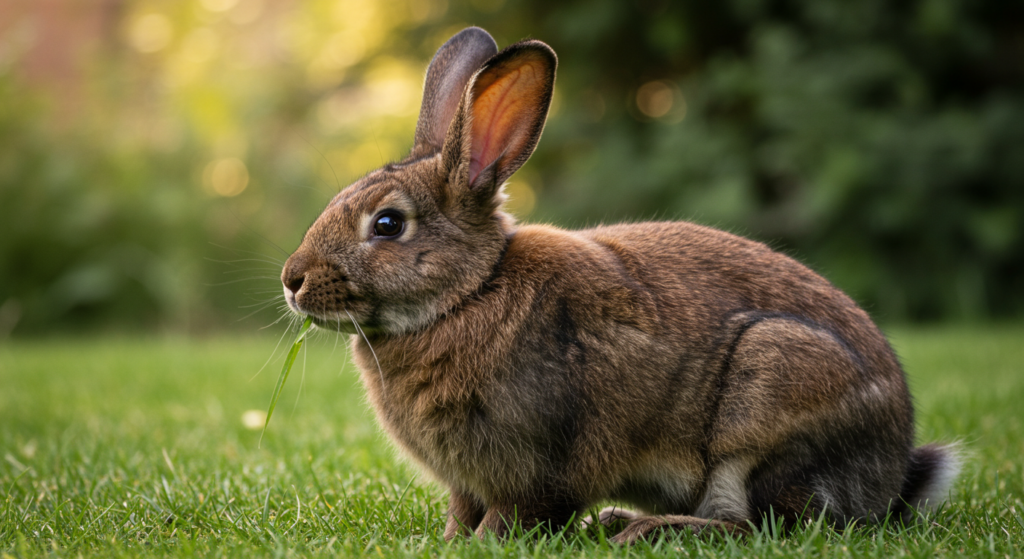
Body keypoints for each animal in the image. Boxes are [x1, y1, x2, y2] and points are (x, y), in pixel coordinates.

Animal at [280, 27, 958, 544]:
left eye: (387, 224)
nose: (292, 280)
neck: (469, 293)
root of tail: (892, 472)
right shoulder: (467, 482)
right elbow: (462, 511)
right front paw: (449, 541)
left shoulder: (535, 463)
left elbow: (514, 514)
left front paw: (479, 545)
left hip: (769, 398)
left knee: (763, 525)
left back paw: (644, 529)